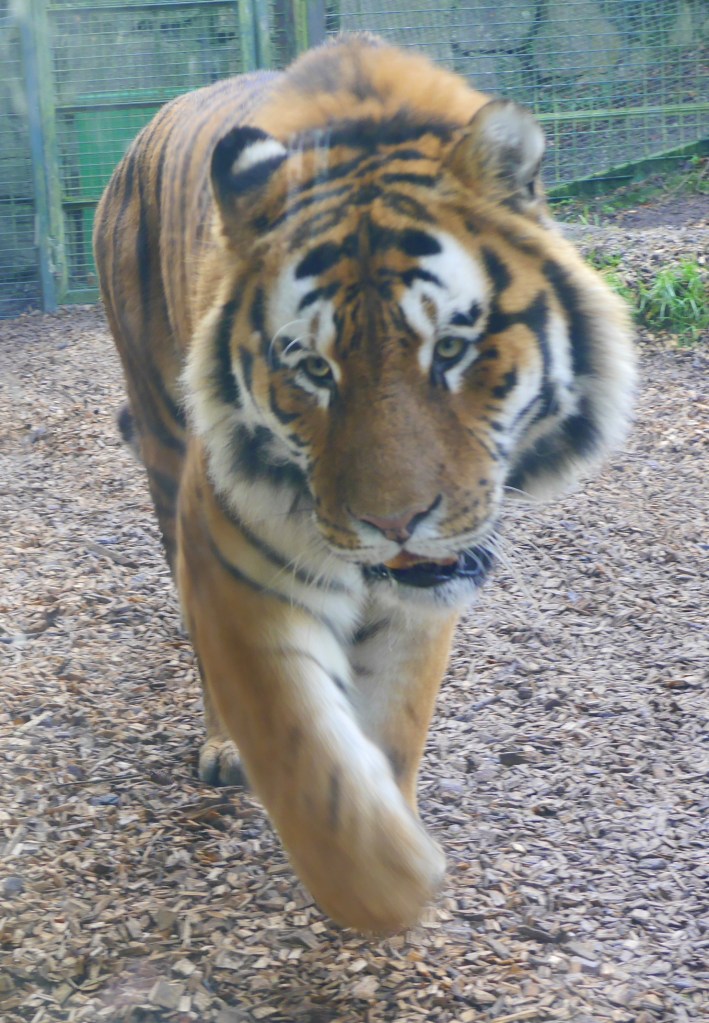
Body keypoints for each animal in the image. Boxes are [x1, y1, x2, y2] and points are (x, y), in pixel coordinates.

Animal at [93, 33, 635, 934]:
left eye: (450, 349)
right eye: (313, 369)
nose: (395, 522)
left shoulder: (425, 601)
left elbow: (393, 723)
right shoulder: (232, 563)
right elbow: (302, 755)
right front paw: (393, 883)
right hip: (165, 445)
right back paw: (222, 747)